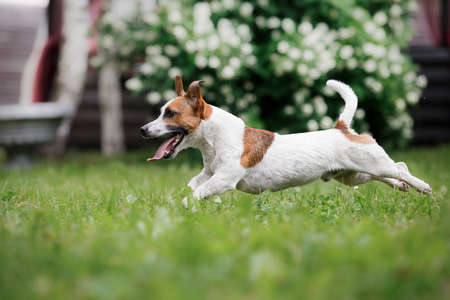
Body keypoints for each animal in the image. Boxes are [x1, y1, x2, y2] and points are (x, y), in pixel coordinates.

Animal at [141, 76, 432, 205]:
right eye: (161, 111)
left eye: (170, 113)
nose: (143, 130)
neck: (215, 139)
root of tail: (342, 128)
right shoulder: (209, 173)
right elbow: (195, 183)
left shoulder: (223, 179)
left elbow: (199, 192)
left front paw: (185, 206)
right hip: (352, 175)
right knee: (388, 174)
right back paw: (403, 187)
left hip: (371, 162)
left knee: (399, 168)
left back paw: (423, 187)